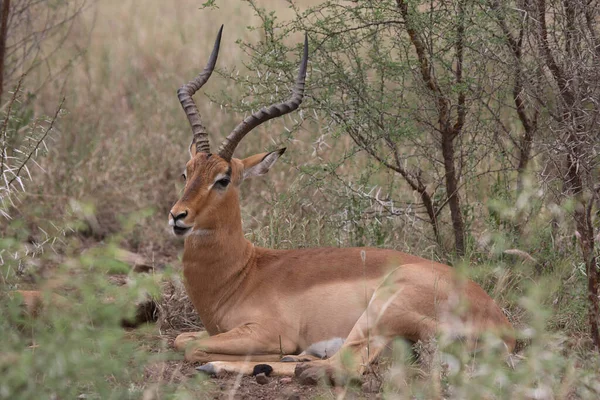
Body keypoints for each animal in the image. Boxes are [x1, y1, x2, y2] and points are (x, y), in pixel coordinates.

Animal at [170, 26, 516, 382]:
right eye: (187, 172)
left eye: (223, 179)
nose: (178, 216)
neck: (243, 273)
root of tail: (502, 329)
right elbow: (181, 338)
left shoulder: (267, 331)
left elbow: (190, 346)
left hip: (380, 311)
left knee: (346, 365)